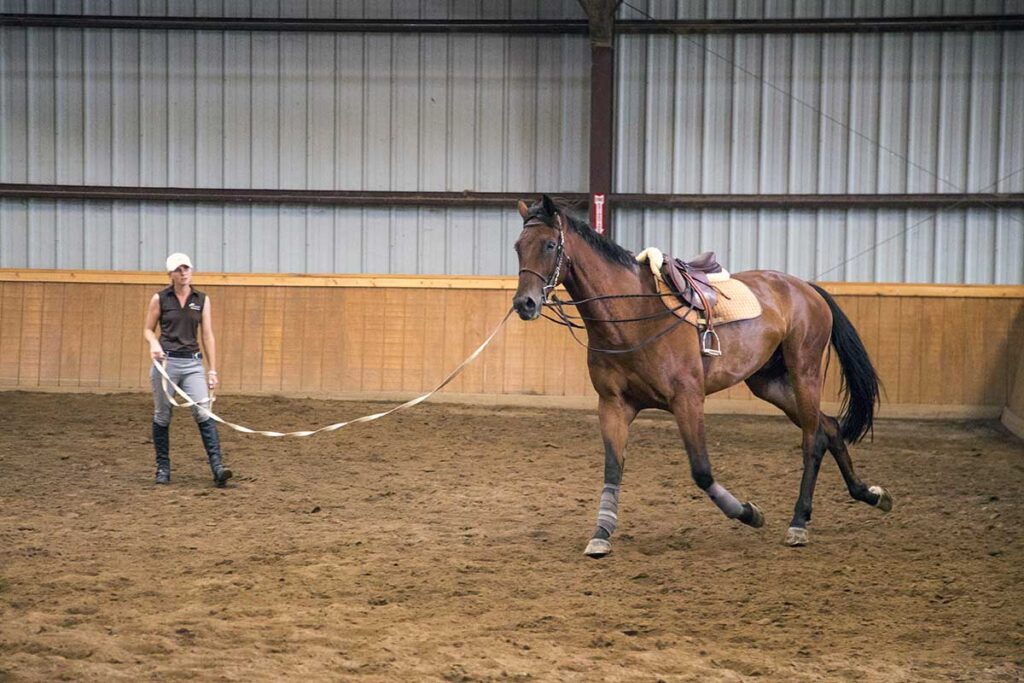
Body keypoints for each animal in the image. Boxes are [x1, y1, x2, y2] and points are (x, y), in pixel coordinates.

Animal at [511, 195, 891, 557]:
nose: (524, 304)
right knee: (829, 427)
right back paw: (870, 494)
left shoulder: (688, 400)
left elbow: (701, 470)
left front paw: (750, 513)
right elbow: (613, 468)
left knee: (813, 440)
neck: (633, 315)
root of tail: (806, 288)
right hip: (771, 384)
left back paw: (799, 522)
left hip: (804, 373)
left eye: (549, 245)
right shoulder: (614, 405)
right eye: (518, 246)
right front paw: (601, 534)